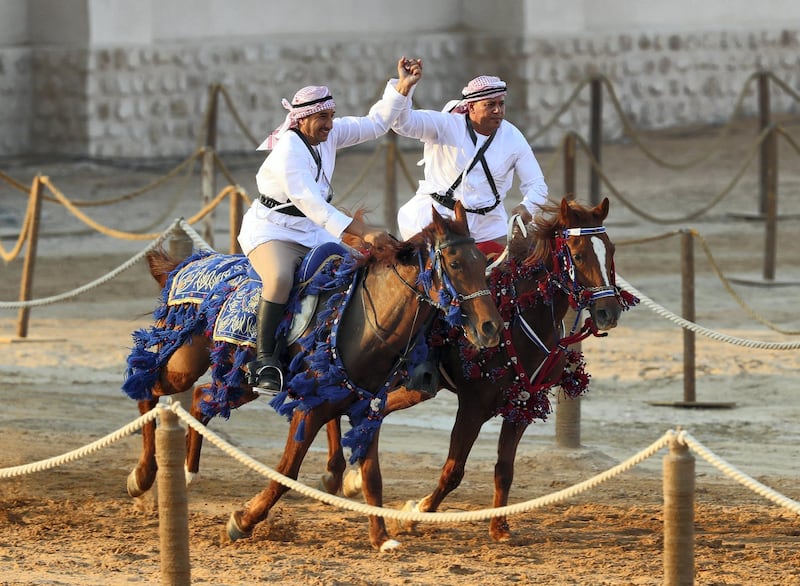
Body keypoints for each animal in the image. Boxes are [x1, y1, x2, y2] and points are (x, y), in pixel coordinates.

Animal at [121, 201, 504, 548]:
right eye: (454, 263)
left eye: (483, 262)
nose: (491, 328)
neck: (359, 323)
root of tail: (190, 265)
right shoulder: (309, 409)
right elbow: (286, 472)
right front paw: (242, 521)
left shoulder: (369, 411)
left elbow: (372, 476)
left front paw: (381, 537)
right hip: (184, 365)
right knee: (149, 389)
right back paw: (142, 476)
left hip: (240, 380)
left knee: (200, 400)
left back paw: (187, 472)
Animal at [326, 196, 636, 540]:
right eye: (579, 255)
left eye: (610, 250)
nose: (608, 311)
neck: (519, 316)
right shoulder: (473, 405)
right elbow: (453, 470)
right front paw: (415, 513)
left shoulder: (522, 405)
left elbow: (504, 470)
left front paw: (499, 526)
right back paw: (335, 472)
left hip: (414, 389)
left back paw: (350, 477)